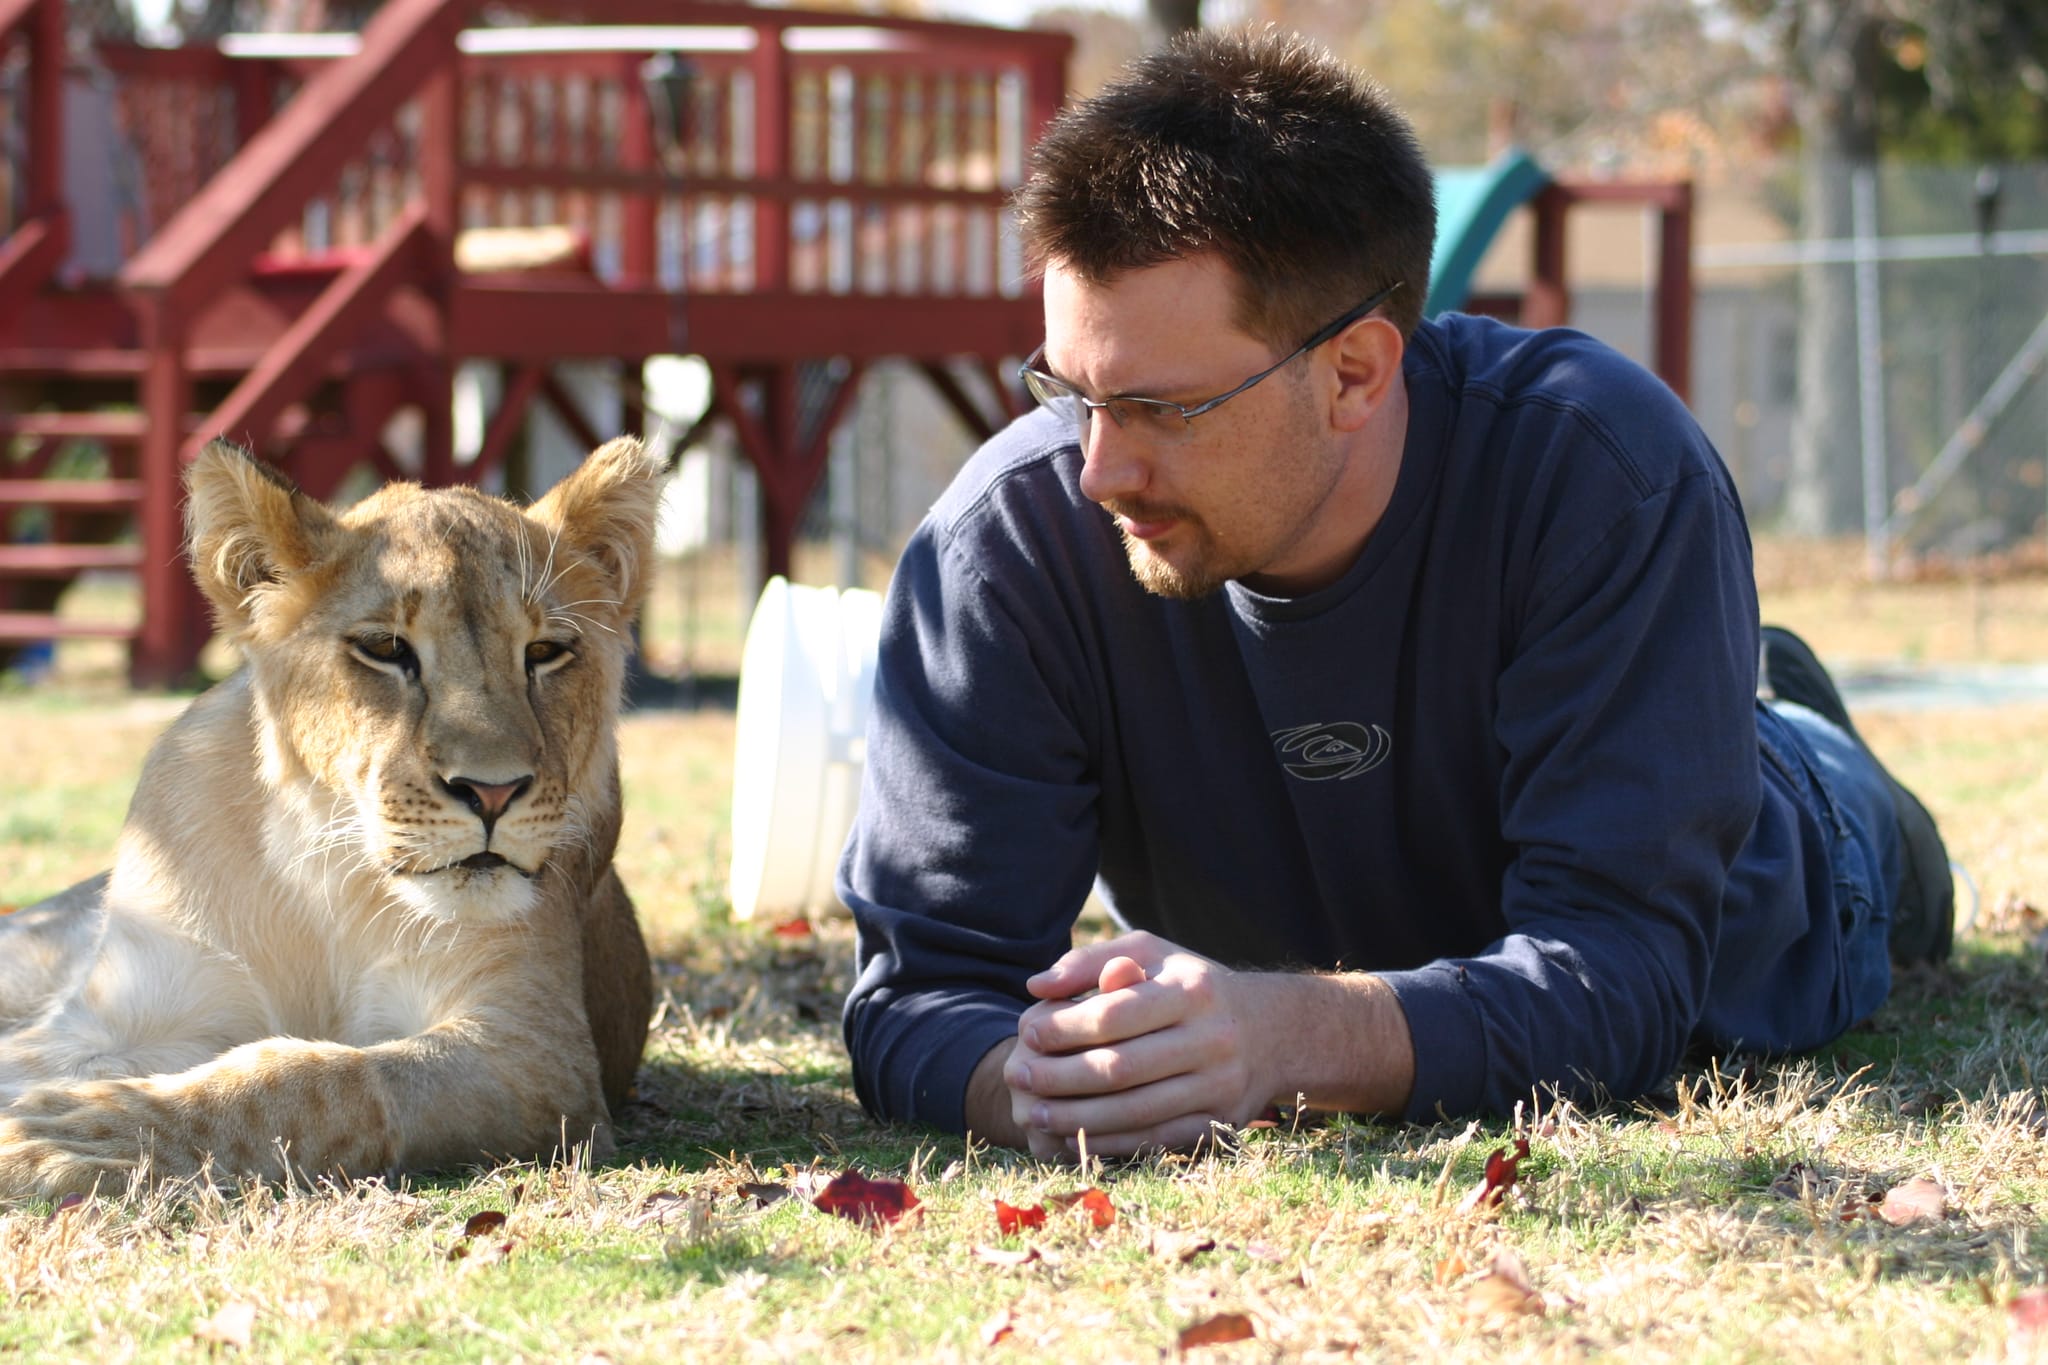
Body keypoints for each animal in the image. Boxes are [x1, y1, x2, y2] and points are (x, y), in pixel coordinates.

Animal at [0, 437, 664, 1200]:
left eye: (546, 652)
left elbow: (319, 1078)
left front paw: (75, 1135)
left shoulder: (539, 1057)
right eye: (385, 649)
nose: (493, 792)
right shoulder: (123, 1016)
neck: (327, 873)